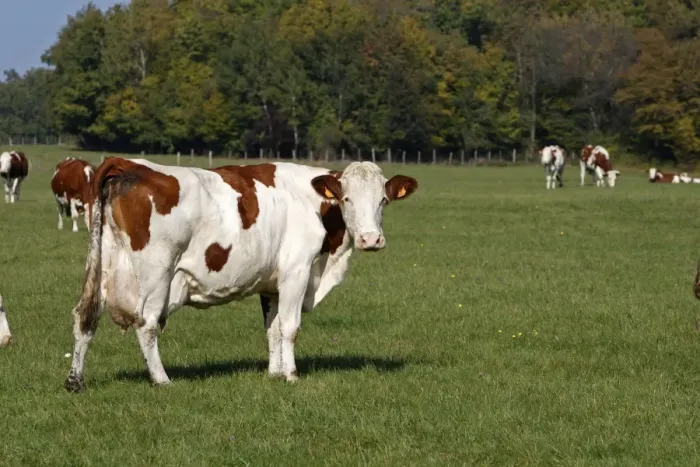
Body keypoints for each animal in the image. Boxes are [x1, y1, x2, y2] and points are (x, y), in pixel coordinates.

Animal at [65, 158, 418, 392]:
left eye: (383, 200)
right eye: (346, 199)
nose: (371, 239)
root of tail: (127, 163)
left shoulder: (271, 284)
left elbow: (273, 329)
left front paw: (274, 373)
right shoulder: (297, 271)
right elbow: (290, 327)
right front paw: (290, 374)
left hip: (103, 266)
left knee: (85, 317)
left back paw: (75, 380)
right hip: (157, 273)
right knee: (147, 325)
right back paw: (162, 379)